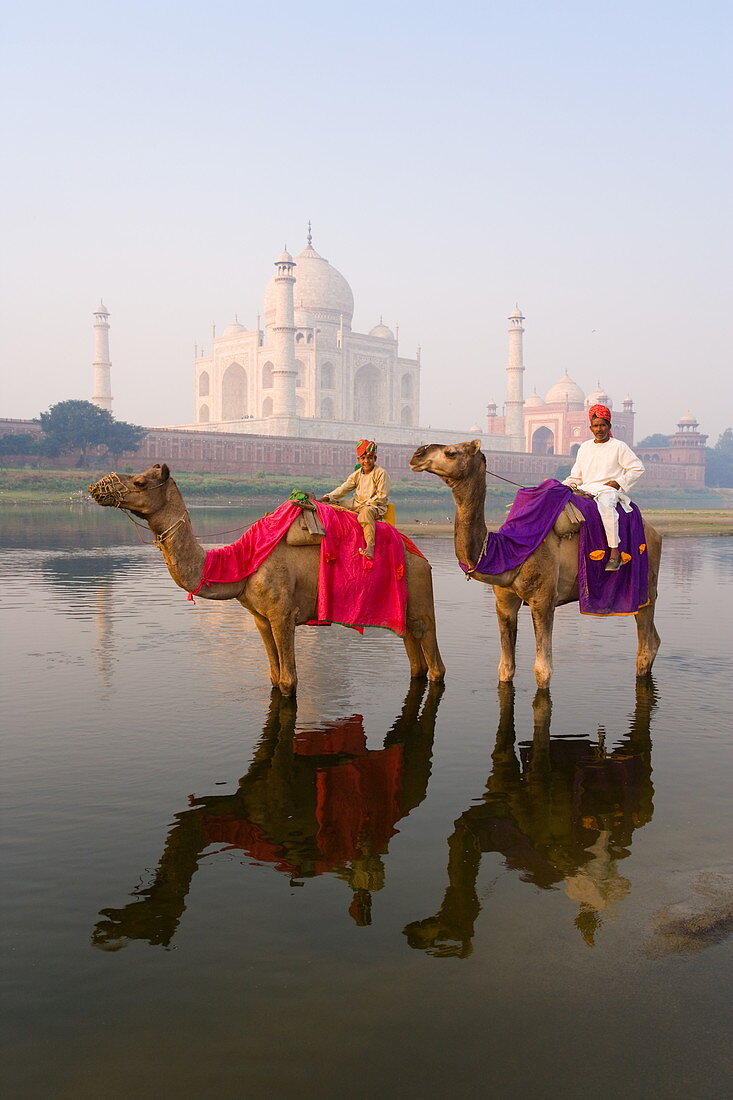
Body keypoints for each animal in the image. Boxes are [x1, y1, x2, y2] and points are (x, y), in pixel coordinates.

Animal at [91, 464, 444, 695]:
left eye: (139, 482)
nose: (97, 487)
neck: (242, 562)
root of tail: (418, 555)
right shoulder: (260, 617)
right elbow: (274, 678)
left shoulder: (282, 614)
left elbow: (289, 682)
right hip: (402, 604)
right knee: (413, 653)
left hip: (419, 589)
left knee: (433, 656)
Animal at [407, 440, 660, 686]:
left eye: (450, 452)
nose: (417, 454)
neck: (506, 549)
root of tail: (655, 532)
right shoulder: (504, 601)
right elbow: (505, 668)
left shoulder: (543, 599)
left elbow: (543, 670)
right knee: (654, 641)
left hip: (645, 585)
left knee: (645, 646)